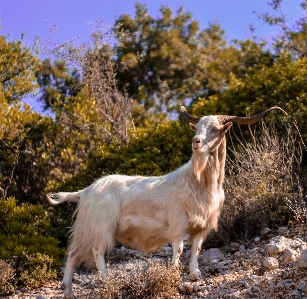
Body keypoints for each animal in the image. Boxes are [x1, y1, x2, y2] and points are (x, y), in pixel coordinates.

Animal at [47, 105, 286, 298]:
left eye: (215, 129)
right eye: (197, 127)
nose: (196, 142)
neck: (199, 182)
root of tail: (86, 190)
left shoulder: (201, 226)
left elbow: (196, 249)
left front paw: (194, 275)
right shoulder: (178, 225)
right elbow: (178, 250)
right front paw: (172, 274)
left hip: (88, 228)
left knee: (73, 254)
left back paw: (68, 291)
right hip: (101, 226)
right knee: (96, 252)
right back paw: (106, 281)